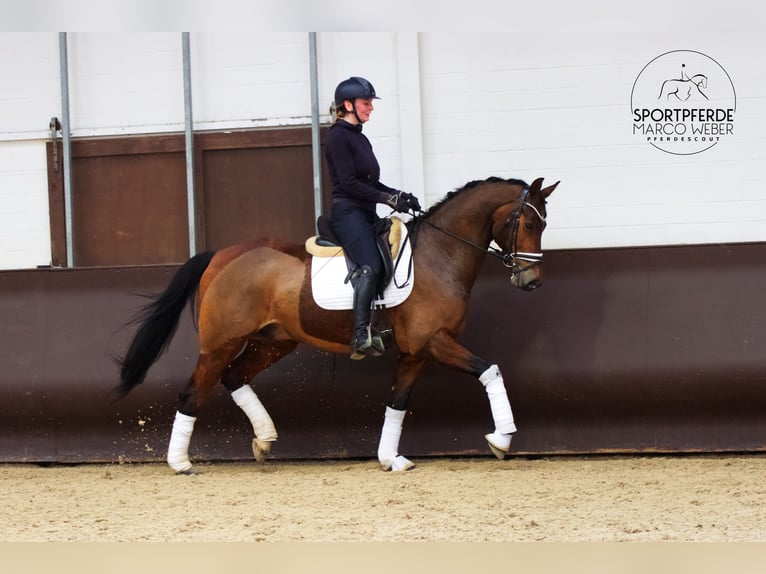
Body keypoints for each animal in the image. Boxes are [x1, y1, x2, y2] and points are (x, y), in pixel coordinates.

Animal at [116, 176, 559, 473]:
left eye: (544, 224)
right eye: (529, 224)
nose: (532, 281)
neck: (440, 255)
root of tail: (222, 255)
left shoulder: (414, 353)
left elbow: (397, 402)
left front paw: (390, 458)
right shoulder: (433, 341)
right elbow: (490, 369)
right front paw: (501, 439)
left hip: (273, 341)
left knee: (234, 377)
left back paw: (264, 439)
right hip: (220, 343)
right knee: (194, 392)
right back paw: (180, 463)